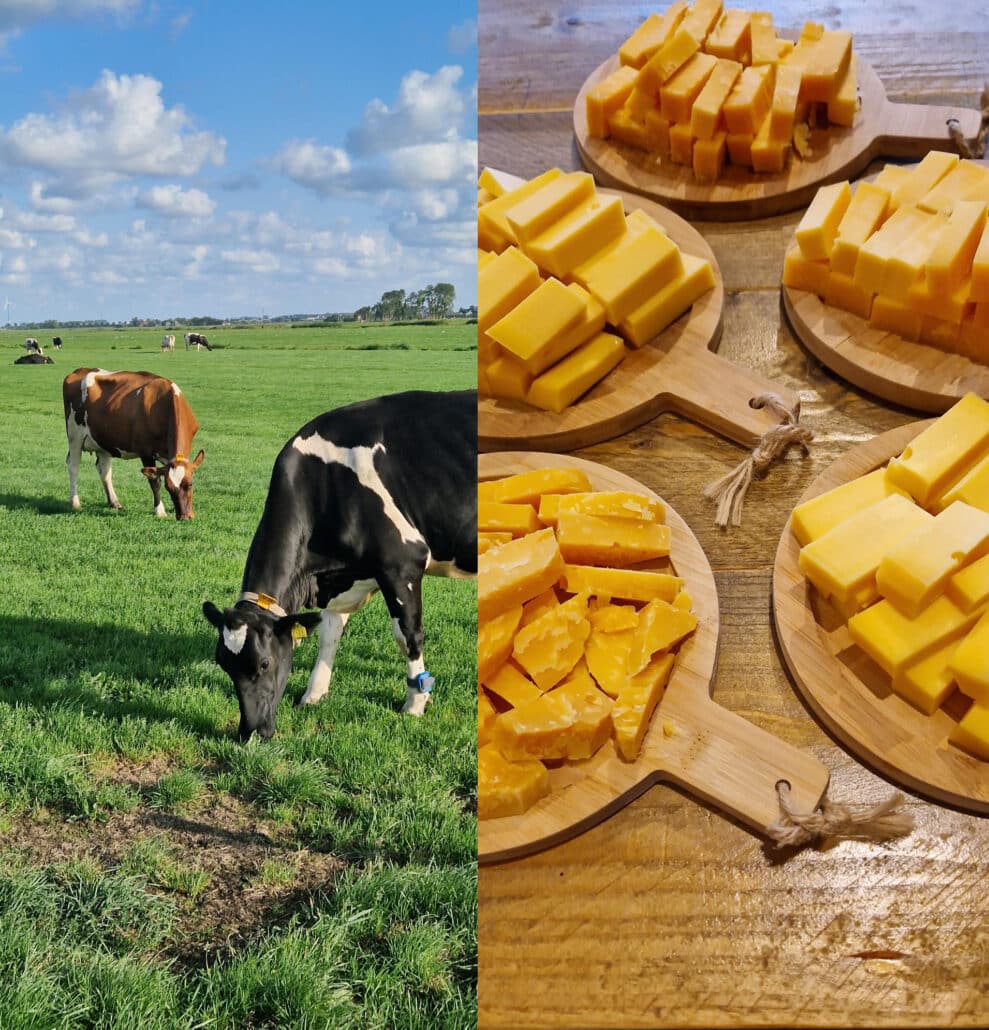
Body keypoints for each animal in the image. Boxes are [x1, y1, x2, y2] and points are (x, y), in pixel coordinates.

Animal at [63, 368, 205, 520]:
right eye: (169, 488)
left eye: (190, 484)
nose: (184, 516)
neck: (162, 406)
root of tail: (80, 371)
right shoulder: (146, 452)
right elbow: (155, 482)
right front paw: (160, 511)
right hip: (74, 436)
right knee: (73, 466)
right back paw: (75, 503)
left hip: (103, 440)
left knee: (104, 470)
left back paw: (114, 502)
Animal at [202, 389, 476, 741]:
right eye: (223, 663)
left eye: (264, 664)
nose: (250, 732)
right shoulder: (342, 579)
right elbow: (329, 633)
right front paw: (313, 694)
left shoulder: (401, 564)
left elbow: (408, 635)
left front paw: (415, 703)